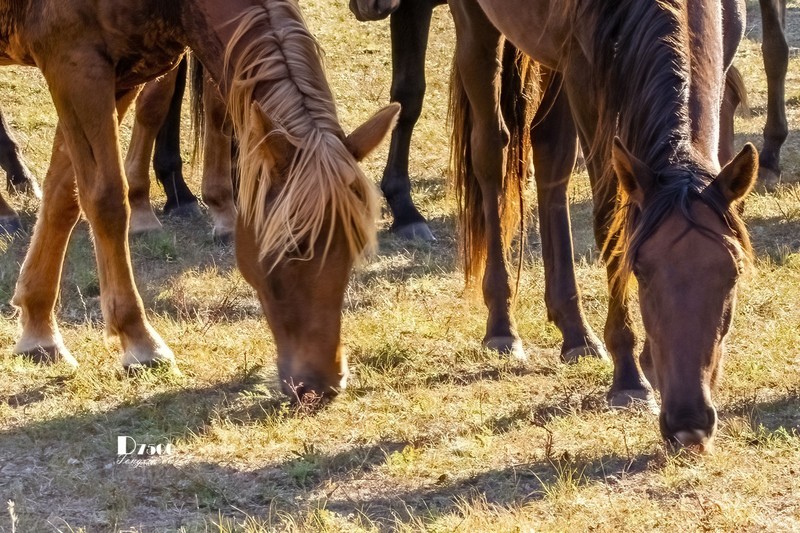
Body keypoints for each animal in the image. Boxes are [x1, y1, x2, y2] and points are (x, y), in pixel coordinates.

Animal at [2, 0, 399, 399]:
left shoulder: (119, 78)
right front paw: (140, 341)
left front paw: (39, 329)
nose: (322, 383)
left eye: (355, 244)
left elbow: (63, 196)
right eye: (292, 246)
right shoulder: (76, 65)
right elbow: (106, 199)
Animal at [449, 0, 757, 450]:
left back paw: (576, 332)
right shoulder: (585, 80)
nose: (688, 423)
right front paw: (629, 377)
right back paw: (502, 326)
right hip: (479, 26)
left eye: (733, 273)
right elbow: (610, 221)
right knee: (492, 151)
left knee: (551, 158)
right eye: (640, 271)